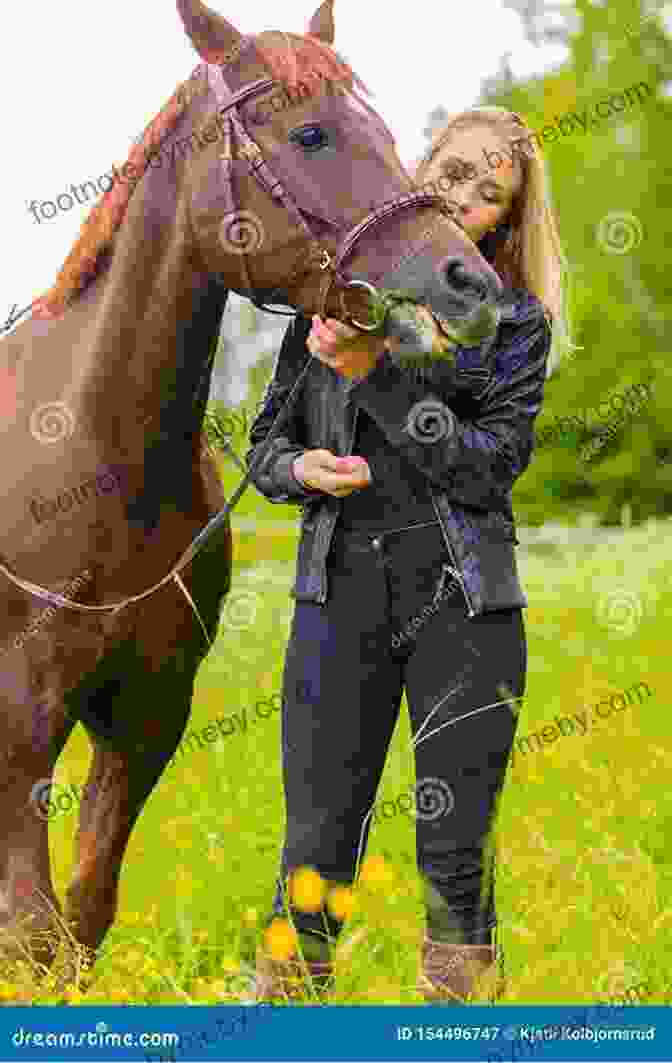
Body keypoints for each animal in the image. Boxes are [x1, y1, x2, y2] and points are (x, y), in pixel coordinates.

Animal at [0, 0, 504, 982]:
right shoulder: (18, 723)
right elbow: (34, 938)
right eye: (309, 133)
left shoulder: (148, 715)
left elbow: (82, 914)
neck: (87, 455)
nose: (469, 282)